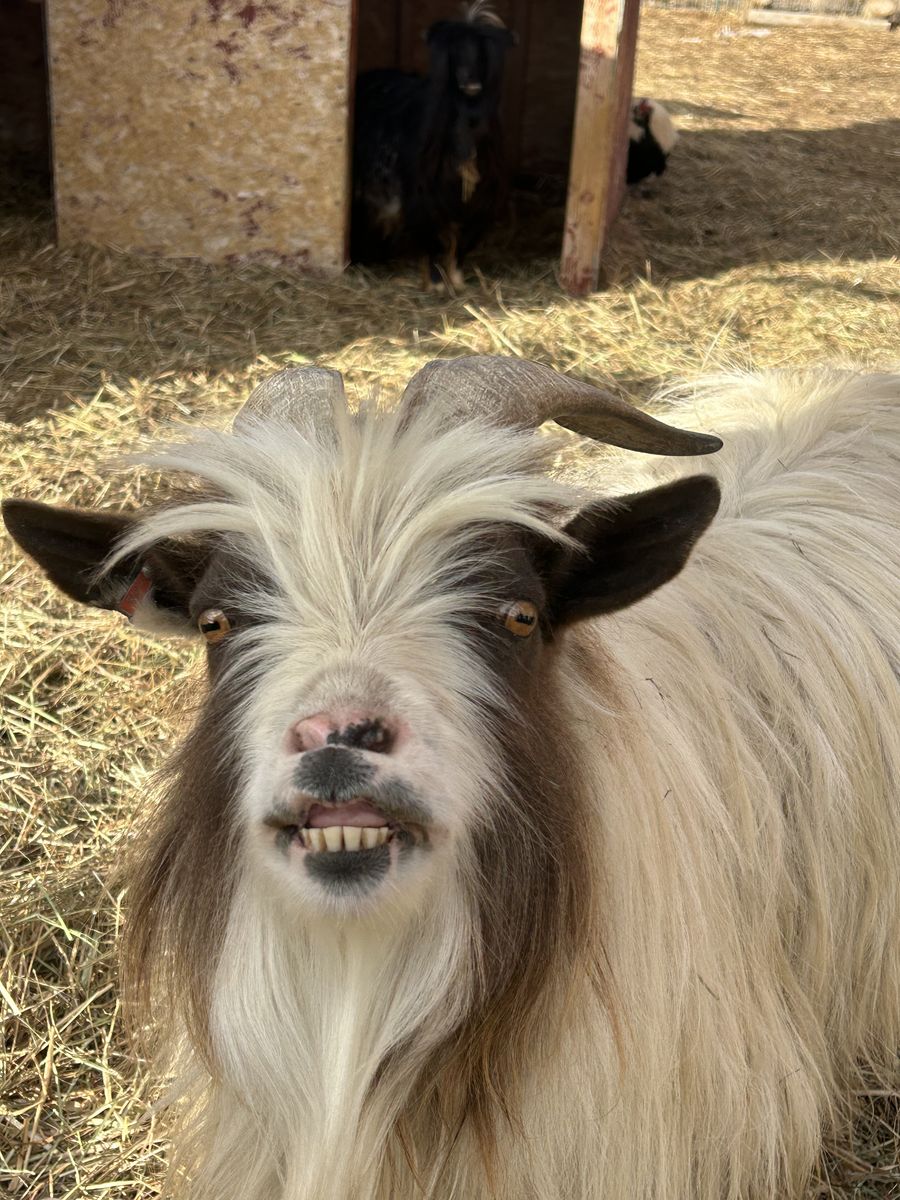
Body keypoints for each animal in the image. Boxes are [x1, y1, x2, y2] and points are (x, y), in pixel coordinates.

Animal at [351, 4, 515, 291]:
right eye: (455, 52)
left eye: (481, 53)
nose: (471, 84)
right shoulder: (423, 197)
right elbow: (434, 239)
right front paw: (438, 283)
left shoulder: (480, 199)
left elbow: (462, 242)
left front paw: (457, 280)